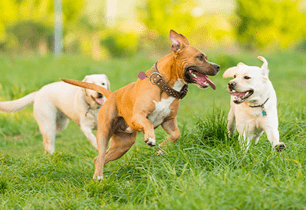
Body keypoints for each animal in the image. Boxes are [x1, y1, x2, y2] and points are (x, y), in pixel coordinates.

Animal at [62, 30, 220, 180]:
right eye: (200, 57)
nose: (218, 66)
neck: (164, 87)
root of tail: (112, 95)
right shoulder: (138, 116)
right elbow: (148, 123)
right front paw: (151, 139)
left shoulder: (169, 121)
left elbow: (176, 134)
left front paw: (162, 148)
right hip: (104, 132)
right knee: (100, 154)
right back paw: (99, 176)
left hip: (122, 145)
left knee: (99, 158)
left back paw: (97, 176)